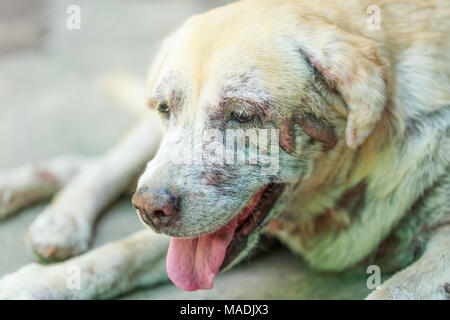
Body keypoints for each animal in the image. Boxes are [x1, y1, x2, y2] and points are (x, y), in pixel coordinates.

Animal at [0, 0, 450, 298]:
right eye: (166, 108)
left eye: (242, 115)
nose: (149, 208)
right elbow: (120, 251)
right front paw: (42, 282)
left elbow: (391, 290)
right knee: (108, 164)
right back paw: (55, 215)